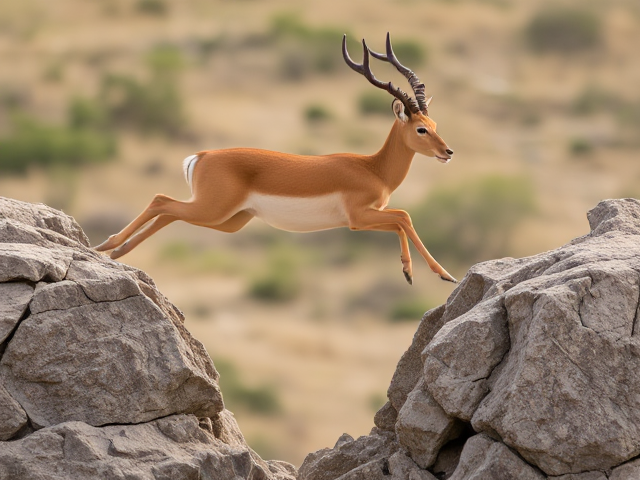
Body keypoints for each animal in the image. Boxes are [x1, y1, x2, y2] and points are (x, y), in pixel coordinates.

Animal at [95, 33, 457, 284]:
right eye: (421, 129)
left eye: (435, 125)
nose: (448, 152)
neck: (374, 169)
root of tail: (202, 154)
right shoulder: (358, 218)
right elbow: (404, 217)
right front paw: (437, 274)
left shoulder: (367, 216)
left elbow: (401, 219)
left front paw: (415, 272)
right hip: (213, 210)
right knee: (161, 200)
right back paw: (107, 246)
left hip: (228, 221)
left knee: (169, 212)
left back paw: (116, 251)